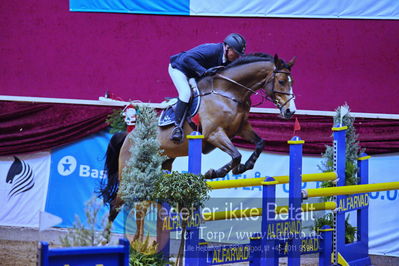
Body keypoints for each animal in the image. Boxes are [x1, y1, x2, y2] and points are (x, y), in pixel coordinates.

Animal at [101, 53, 296, 242]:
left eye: (290, 81)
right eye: (281, 81)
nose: (290, 112)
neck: (228, 93)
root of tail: (129, 135)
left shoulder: (242, 128)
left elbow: (259, 144)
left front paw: (243, 167)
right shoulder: (214, 134)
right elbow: (235, 155)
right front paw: (215, 172)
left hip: (160, 167)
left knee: (141, 205)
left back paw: (137, 241)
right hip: (129, 174)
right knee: (116, 204)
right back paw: (105, 239)